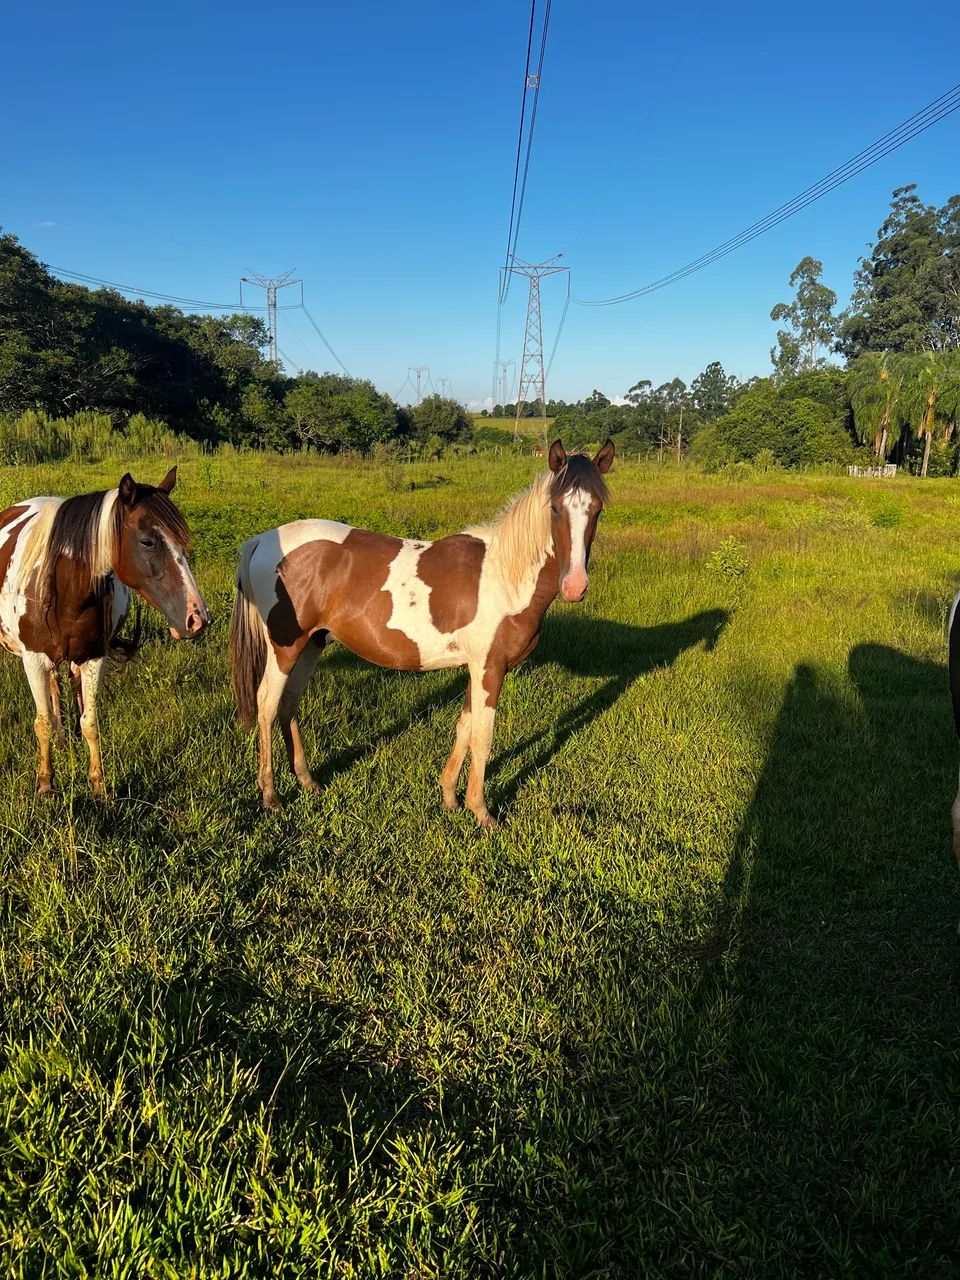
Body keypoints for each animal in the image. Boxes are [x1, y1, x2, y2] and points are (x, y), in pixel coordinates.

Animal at [0, 468, 209, 797]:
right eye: (147, 542)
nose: (197, 617)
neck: (63, 585)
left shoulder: (93, 658)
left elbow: (90, 722)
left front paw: (99, 788)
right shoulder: (33, 658)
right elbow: (43, 721)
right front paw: (45, 785)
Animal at [230, 438, 615, 826]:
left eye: (597, 509)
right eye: (555, 508)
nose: (575, 586)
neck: (504, 576)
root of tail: (263, 540)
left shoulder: (475, 669)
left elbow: (464, 728)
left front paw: (450, 798)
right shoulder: (490, 669)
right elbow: (482, 737)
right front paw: (481, 812)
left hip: (312, 644)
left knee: (289, 704)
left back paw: (308, 782)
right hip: (285, 647)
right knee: (267, 704)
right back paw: (271, 797)